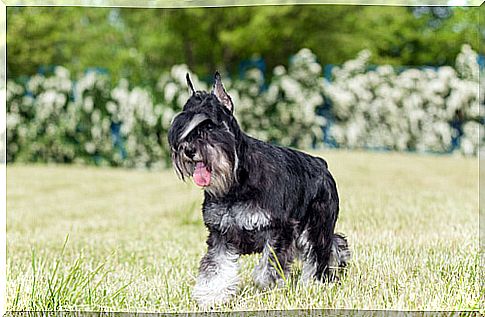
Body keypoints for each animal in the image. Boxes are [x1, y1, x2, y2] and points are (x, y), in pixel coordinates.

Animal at [168, 71, 350, 306]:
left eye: (209, 126)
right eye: (183, 127)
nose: (188, 150)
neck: (235, 185)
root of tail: (321, 163)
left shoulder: (279, 230)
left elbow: (269, 267)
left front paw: (269, 288)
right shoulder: (220, 234)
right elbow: (215, 269)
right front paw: (211, 297)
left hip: (315, 229)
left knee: (322, 252)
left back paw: (316, 283)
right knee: (334, 244)